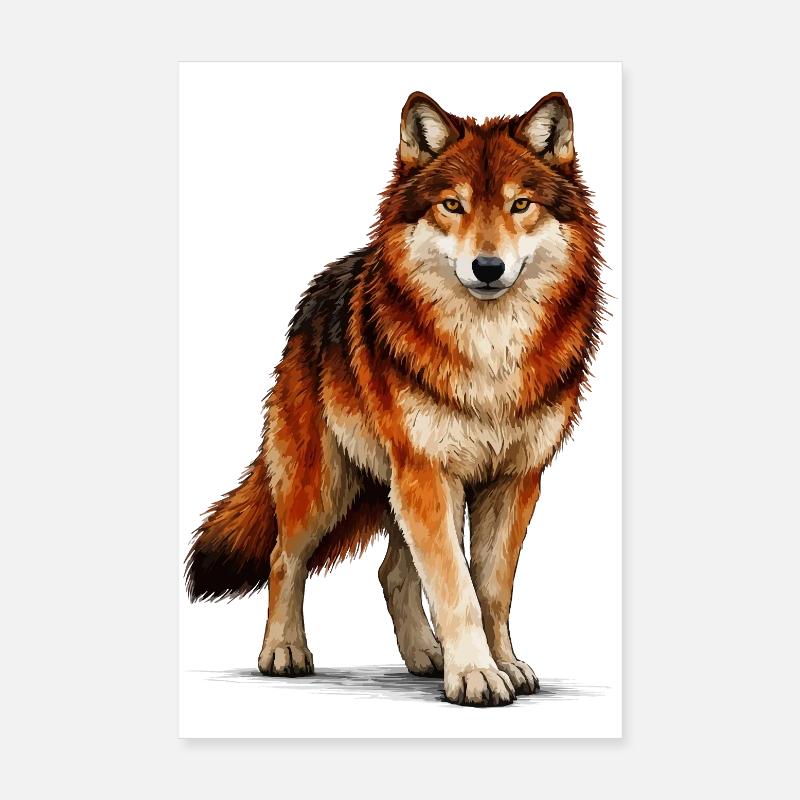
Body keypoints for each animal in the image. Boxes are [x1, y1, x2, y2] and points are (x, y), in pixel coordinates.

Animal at [186, 91, 604, 706]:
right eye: (452, 206)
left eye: (520, 205)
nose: (487, 268)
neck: (489, 353)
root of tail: (319, 291)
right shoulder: (429, 473)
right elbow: (457, 588)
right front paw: (476, 675)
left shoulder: (514, 481)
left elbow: (491, 590)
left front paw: (503, 664)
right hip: (327, 485)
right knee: (285, 558)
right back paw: (284, 652)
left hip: (398, 488)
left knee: (392, 572)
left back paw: (427, 656)